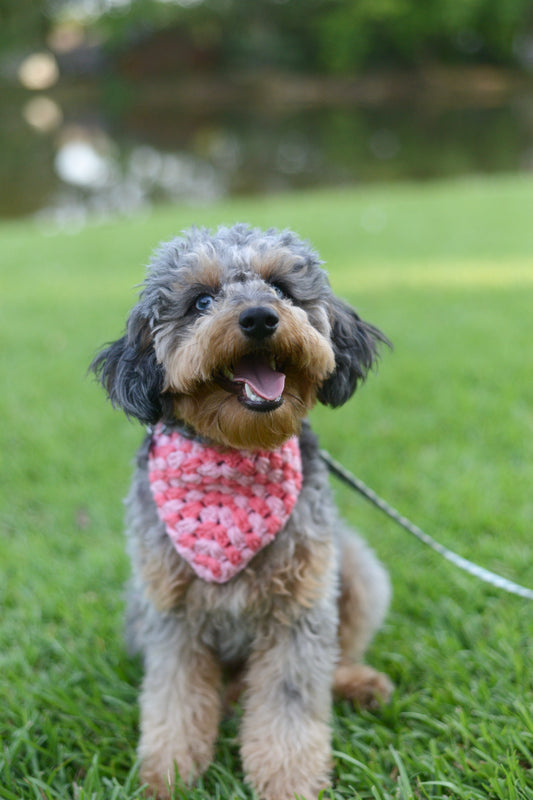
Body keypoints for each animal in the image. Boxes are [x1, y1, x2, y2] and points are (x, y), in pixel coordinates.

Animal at [90, 223, 390, 800]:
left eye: (281, 288)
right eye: (201, 301)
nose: (258, 317)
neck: (234, 455)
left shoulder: (298, 607)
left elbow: (291, 703)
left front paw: (289, 780)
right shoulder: (172, 615)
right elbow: (175, 700)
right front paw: (169, 774)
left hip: (356, 568)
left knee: (336, 655)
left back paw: (356, 683)